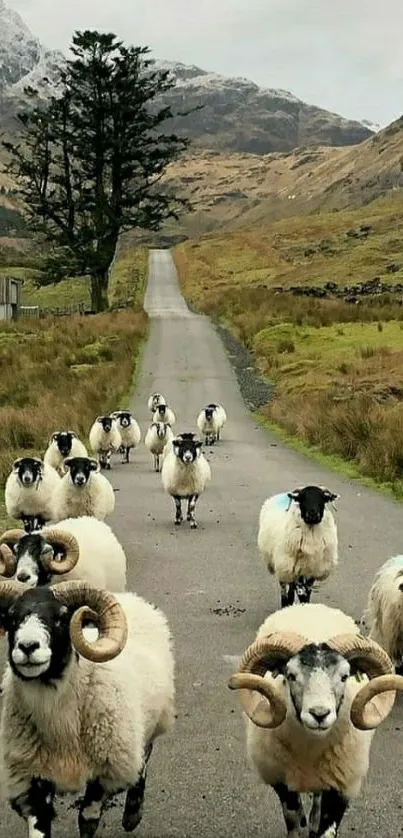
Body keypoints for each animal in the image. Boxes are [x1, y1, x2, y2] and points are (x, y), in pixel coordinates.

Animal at [229, 604, 403, 838]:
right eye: (290, 675)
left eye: (345, 676)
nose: (319, 714)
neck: (310, 747)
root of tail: (307, 605)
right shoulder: (282, 782)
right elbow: (296, 825)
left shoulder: (341, 787)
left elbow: (326, 830)